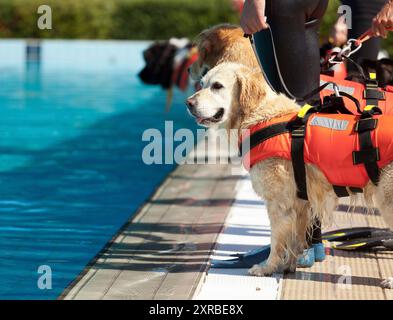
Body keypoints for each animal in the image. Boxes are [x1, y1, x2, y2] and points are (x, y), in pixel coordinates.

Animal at [185, 62, 392, 288]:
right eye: (202, 83)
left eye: (217, 86)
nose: (189, 103)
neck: (258, 115)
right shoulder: (299, 202)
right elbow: (293, 238)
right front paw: (288, 266)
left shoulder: (278, 203)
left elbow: (276, 240)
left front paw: (266, 267)